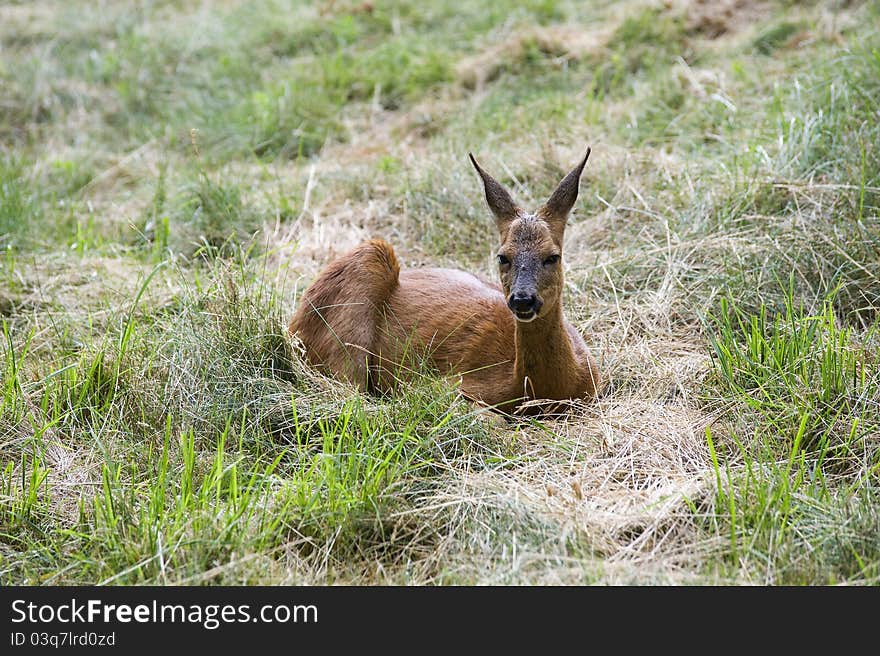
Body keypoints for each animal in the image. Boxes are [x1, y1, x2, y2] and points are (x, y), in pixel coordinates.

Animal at [288, 149, 600, 416]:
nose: (523, 299)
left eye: (553, 257)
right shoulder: (448, 385)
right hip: (365, 270)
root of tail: (293, 328)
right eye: (503, 257)